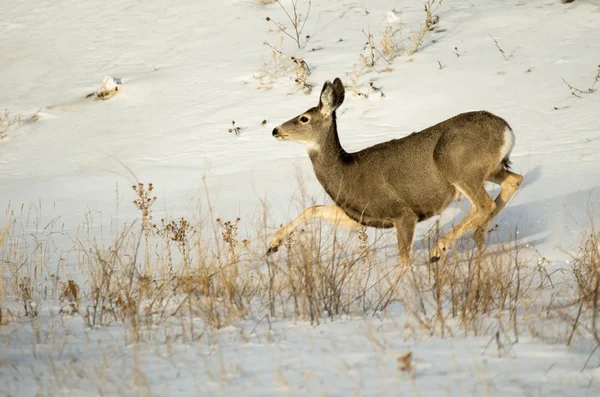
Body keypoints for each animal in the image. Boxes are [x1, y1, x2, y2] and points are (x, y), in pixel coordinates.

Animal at [264, 77, 524, 262]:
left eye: (303, 118)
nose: (275, 130)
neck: (345, 173)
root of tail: (507, 130)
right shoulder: (362, 216)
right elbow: (314, 209)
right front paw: (273, 245)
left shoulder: (403, 213)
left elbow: (404, 259)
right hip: (490, 169)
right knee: (514, 180)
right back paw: (477, 236)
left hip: (458, 167)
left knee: (484, 204)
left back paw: (438, 249)